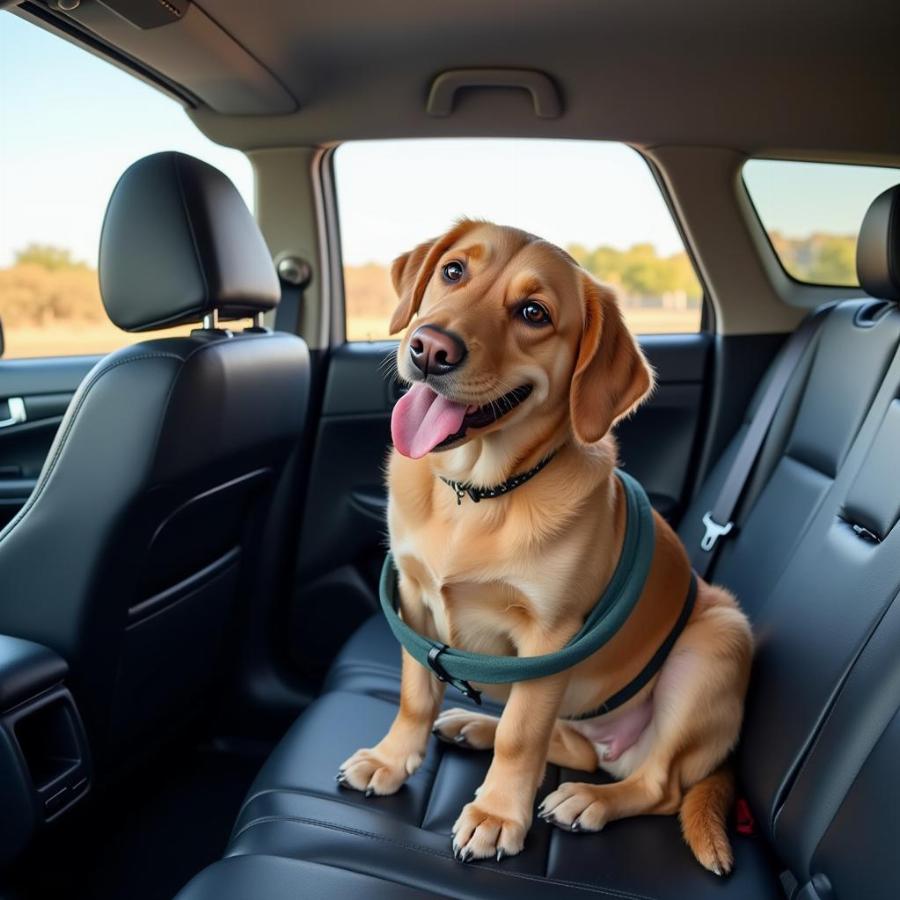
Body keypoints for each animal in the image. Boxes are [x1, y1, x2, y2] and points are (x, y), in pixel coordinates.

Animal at [338, 218, 752, 872]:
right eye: (453, 271)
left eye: (534, 313)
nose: (429, 348)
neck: (478, 494)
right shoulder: (413, 604)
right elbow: (413, 697)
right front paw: (390, 760)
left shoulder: (549, 638)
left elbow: (522, 735)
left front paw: (497, 815)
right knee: (577, 747)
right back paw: (475, 726)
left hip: (714, 646)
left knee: (657, 784)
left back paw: (589, 799)